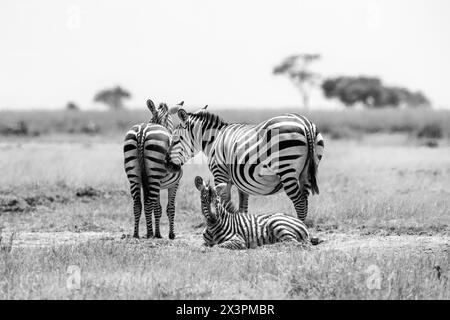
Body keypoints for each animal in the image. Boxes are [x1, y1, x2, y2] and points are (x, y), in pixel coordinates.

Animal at [123, 99, 183, 238]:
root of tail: (142, 131)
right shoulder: (175, 183)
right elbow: (170, 208)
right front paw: (170, 234)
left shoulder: (153, 183)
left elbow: (157, 208)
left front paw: (158, 233)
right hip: (154, 175)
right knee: (148, 202)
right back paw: (150, 234)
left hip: (135, 174)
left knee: (138, 204)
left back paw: (136, 234)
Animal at [165, 106, 324, 221]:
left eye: (175, 140)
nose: (167, 164)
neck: (214, 140)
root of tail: (305, 123)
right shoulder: (242, 181)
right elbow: (243, 207)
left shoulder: (220, 173)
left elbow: (223, 201)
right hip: (306, 173)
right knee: (305, 202)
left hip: (286, 169)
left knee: (300, 204)